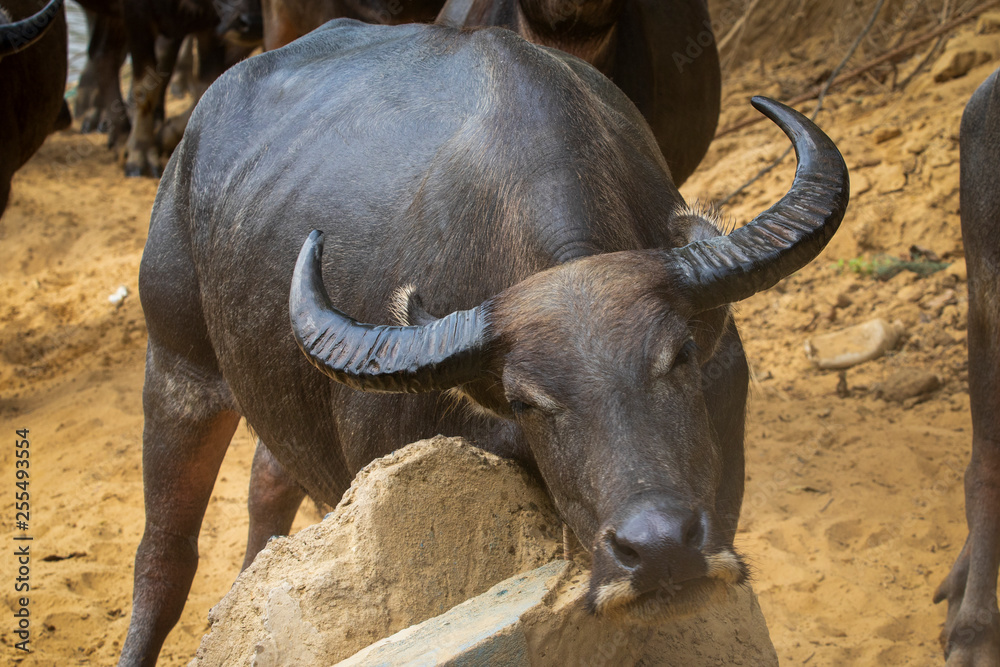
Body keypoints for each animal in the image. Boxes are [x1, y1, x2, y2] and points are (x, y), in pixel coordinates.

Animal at [121, 20, 849, 665]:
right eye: (527, 402)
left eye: (682, 358)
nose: (660, 547)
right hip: (175, 364)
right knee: (164, 555)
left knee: (268, 482)